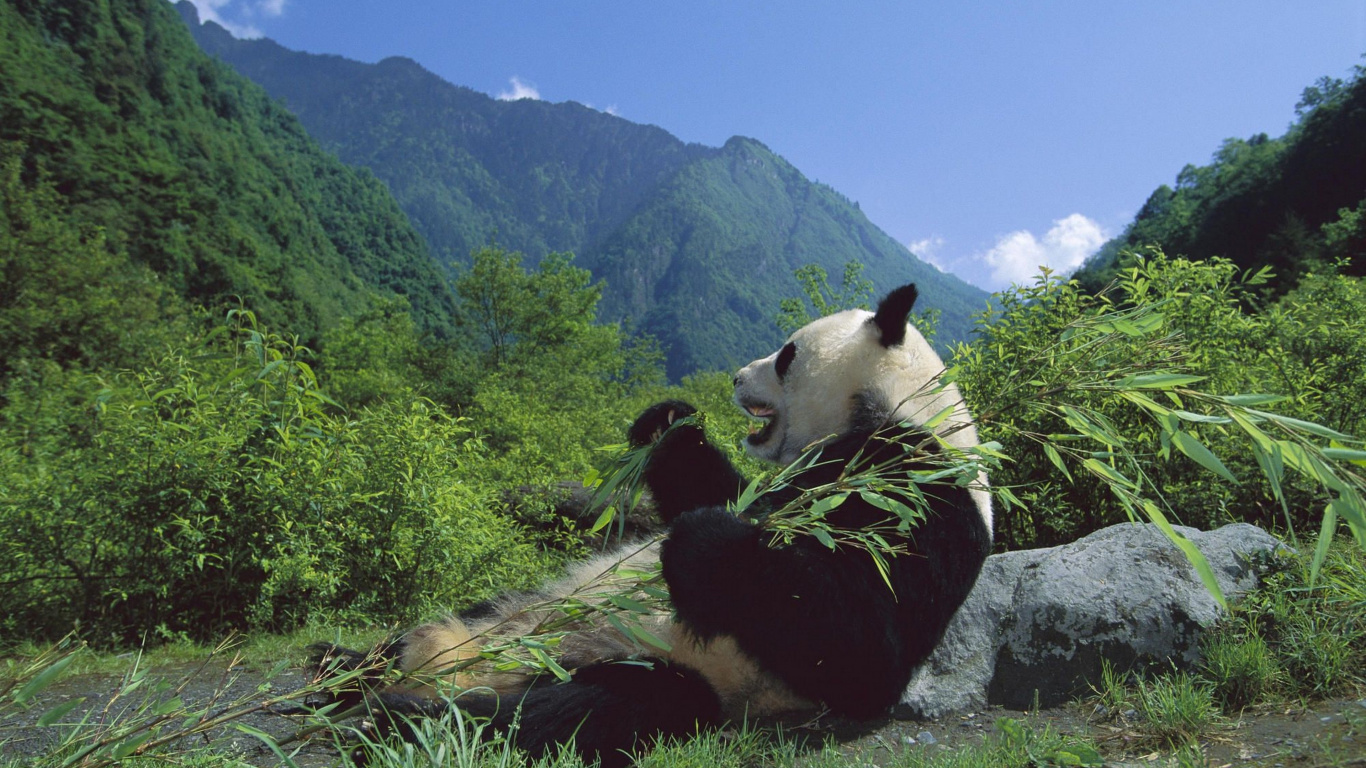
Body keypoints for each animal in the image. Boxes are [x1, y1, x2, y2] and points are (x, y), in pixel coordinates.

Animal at [312, 282, 988, 765]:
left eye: (787, 354)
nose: (735, 377)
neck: (894, 408)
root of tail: (462, 664)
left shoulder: (918, 492)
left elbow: (863, 648)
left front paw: (704, 543)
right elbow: (722, 489)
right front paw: (668, 421)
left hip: (662, 666)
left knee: (592, 707)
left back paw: (398, 717)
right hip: (519, 603)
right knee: (444, 627)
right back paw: (342, 667)